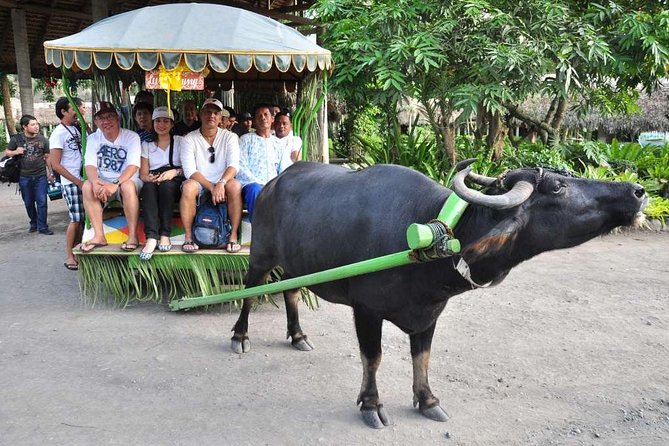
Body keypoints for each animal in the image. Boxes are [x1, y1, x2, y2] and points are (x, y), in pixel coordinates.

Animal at [230, 160, 640, 428]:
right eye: (557, 187)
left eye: (567, 175)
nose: (636, 191)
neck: (429, 234)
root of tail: (272, 184)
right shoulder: (366, 310)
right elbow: (373, 359)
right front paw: (371, 406)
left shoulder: (430, 312)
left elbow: (423, 357)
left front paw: (428, 400)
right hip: (260, 256)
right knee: (250, 292)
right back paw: (239, 337)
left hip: (294, 265)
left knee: (290, 293)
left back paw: (299, 335)